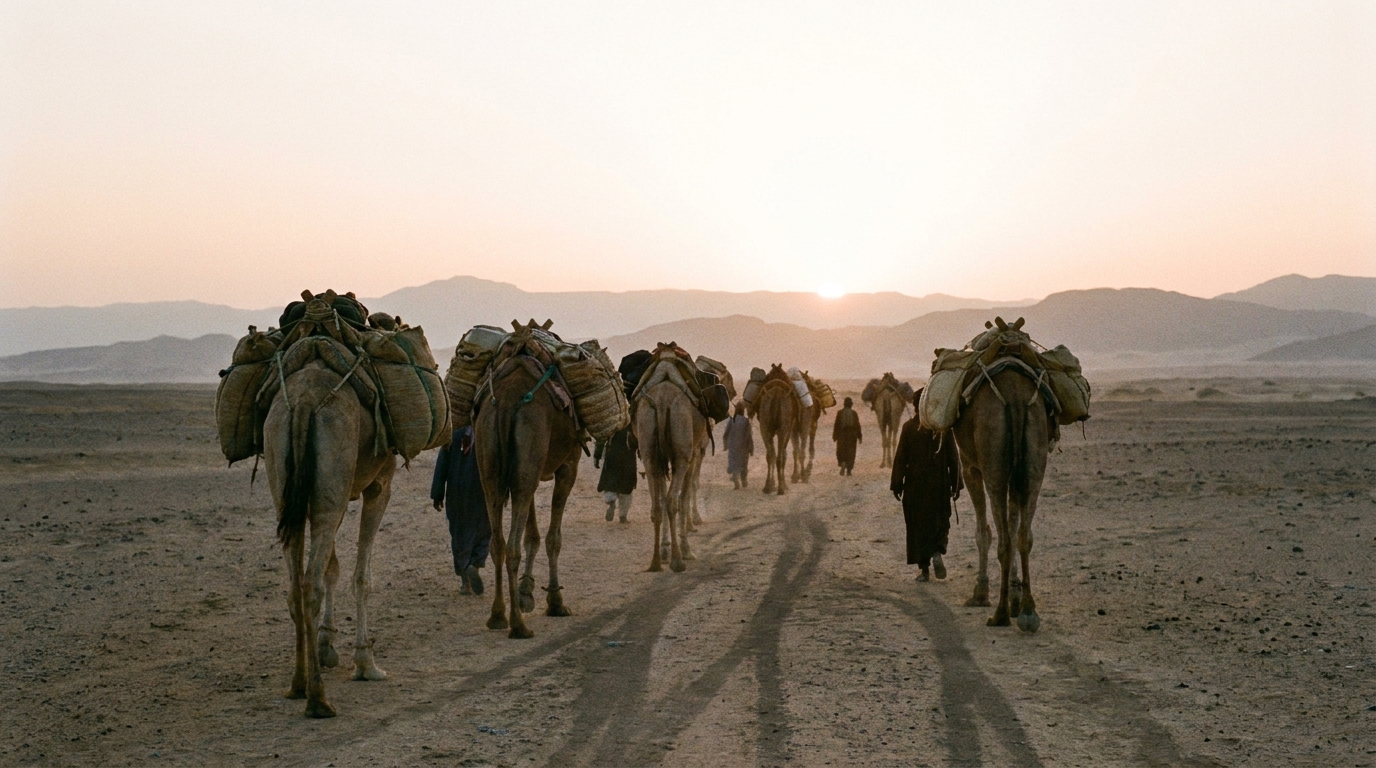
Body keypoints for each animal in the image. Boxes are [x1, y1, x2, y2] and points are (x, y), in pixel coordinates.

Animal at [264, 359, 396, 718]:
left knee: (296, 584)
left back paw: (298, 684)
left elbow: (332, 570)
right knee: (309, 584)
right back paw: (318, 699)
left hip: (286, 484)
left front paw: (326, 645)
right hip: (333, 480)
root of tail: (305, 400)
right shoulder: (380, 484)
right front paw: (365, 663)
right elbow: (361, 577)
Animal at [474, 320, 582, 639]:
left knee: (498, 542)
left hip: (491, 467)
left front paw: (526, 592)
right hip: (528, 459)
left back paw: (498, 616)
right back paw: (518, 625)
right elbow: (553, 538)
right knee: (510, 546)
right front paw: (555, 601)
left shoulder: (528, 470)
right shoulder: (569, 465)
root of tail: (507, 400)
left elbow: (531, 535)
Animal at [633, 345, 709, 572]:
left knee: (657, 504)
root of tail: (662, 402)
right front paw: (686, 550)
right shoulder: (691, 456)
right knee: (672, 500)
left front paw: (665, 549)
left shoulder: (659, 460)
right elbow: (684, 496)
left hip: (649, 453)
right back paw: (677, 560)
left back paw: (656, 561)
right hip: (682, 454)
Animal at [749, 365, 802, 495]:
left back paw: (768, 486)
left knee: (771, 455)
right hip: (780, 428)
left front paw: (773, 484)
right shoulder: (788, 429)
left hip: (766, 426)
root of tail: (776, 394)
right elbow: (783, 454)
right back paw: (780, 487)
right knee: (778, 456)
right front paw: (781, 485)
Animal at [951, 328, 1052, 632]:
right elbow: (1015, 521)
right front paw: (1017, 595)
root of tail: (1016, 397)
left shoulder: (970, 467)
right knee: (1023, 535)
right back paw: (1029, 611)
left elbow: (983, 532)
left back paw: (999, 613)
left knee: (1005, 537)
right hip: (1034, 458)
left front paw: (980, 592)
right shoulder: (1016, 475)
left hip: (993, 464)